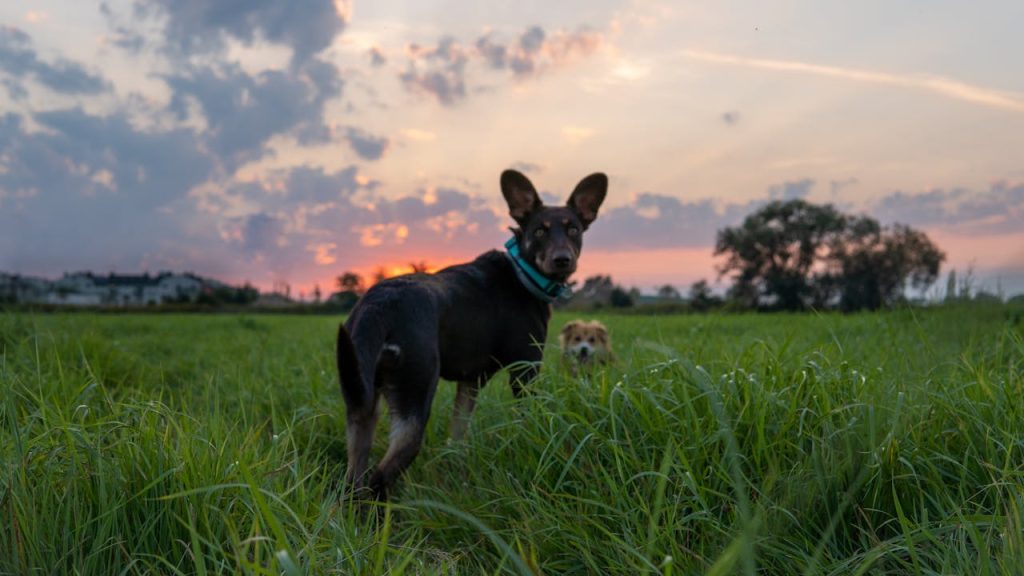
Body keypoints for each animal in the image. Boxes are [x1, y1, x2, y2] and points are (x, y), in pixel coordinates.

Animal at [335, 168, 606, 496]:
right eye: (539, 232)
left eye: (574, 229)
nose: (562, 259)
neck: (522, 274)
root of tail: (378, 305)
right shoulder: (525, 370)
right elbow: (527, 419)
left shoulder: (470, 382)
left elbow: (457, 438)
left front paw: (456, 472)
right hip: (415, 395)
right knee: (380, 478)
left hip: (360, 403)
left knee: (353, 481)